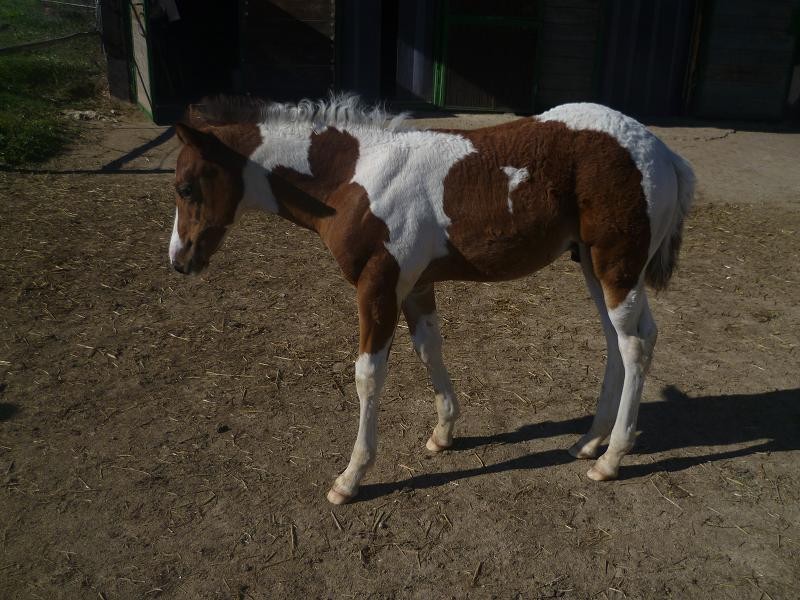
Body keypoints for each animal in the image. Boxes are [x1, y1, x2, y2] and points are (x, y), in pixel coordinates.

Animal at [167, 95, 695, 505]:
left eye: (186, 187)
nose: (178, 260)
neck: (356, 177)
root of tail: (663, 151)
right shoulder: (415, 285)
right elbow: (429, 350)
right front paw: (443, 433)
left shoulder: (378, 285)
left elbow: (368, 376)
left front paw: (350, 478)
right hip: (592, 265)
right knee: (618, 343)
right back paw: (588, 441)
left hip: (616, 266)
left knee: (635, 345)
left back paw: (610, 459)